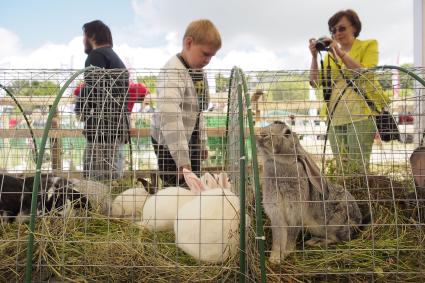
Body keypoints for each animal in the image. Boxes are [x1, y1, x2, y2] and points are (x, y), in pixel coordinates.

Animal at [255, 121, 362, 264]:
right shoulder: (276, 213)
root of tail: (359, 222)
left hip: (335, 225)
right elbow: (278, 238)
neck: (278, 162)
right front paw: (275, 258)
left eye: (287, 133)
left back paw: (315, 242)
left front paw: (287, 252)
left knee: (338, 239)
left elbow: (291, 236)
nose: (262, 134)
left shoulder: (295, 213)